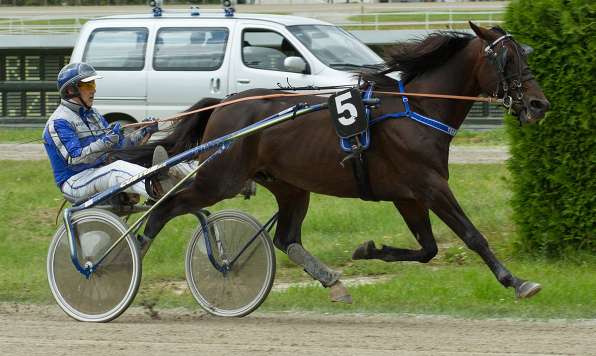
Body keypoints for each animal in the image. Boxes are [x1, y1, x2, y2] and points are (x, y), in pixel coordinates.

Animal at [125, 21, 548, 300]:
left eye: (523, 53)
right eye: (507, 59)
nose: (538, 104)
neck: (416, 110)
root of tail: (224, 103)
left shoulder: (407, 195)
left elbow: (428, 249)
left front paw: (368, 250)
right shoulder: (429, 186)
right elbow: (473, 236)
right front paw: (517, 281)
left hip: (289, 186)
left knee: (286, 238)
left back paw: (333, 281)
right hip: (220, 178)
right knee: (167, 208)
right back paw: (132, 256)